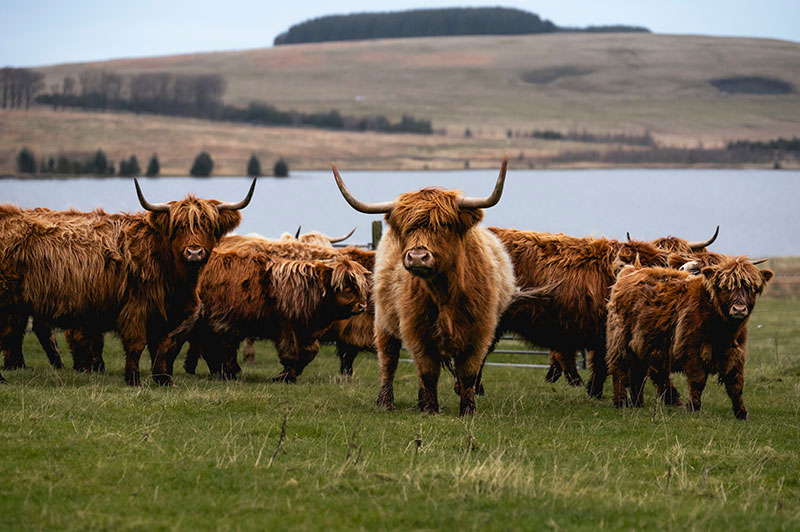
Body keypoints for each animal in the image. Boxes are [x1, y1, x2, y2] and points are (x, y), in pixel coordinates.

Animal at [0, 179, 254, 385]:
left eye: (208, 226)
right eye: (178, 227)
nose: (194, 252)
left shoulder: (167, 314)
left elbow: (163, 347)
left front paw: (163, 380)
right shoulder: (136, 307)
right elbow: (137, 344)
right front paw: (133, 380)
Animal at [181, 235, 375, 378]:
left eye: (360, 287)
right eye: (346, 287)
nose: (362, 305)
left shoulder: (310, 331)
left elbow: (310, 353)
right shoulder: (287, 328)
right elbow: (292, 354)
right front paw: (285, 377)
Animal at [333, 156, 518, 416]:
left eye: (444, 224)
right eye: (407, 227)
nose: (418, 257)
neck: (444, 292)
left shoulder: (480, 331)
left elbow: (468, 373)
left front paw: (468, 410)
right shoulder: (417, 330)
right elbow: (427, 371)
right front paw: (430, 409)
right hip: (383, 321)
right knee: (388, 360)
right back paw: (386, 402)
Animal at [606, 257, 773, 419]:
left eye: (750, 288)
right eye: (725, 287)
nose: (739, 309)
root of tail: (630, 270)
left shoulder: (735, 353)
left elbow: (736, 384)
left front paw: (742, 413)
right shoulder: (692, 351)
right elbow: (698, 381)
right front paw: (693, 408)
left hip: (642, 345)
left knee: (638, 373)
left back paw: (637, 403)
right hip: (621, 340)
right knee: (620, 369)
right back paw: (621, 402)